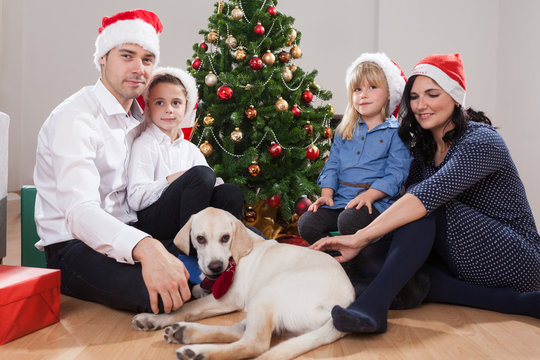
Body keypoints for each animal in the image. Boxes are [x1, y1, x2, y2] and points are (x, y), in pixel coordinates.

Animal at [133, 207, 356, 360]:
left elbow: (188, 307)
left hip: (267, 295)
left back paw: (198, 352)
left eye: (225, 238)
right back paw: (184, 333)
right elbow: (197, 292)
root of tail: (343, 308)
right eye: (200, 239)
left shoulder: (229, 298)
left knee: (254, 343)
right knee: (240, 331)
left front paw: (158, 317)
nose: (216, 267)